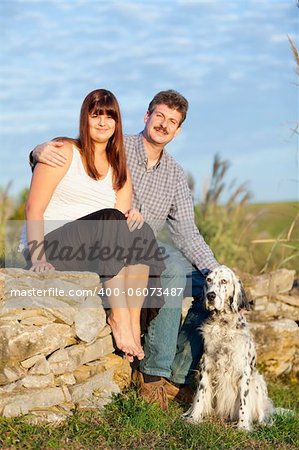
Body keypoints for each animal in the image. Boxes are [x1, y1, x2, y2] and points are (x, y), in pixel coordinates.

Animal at [183, 266, 274, 430]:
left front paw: (243, 427)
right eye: (209, 280)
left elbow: (244, 402)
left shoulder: (243, 371)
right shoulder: (207, 365)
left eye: (224, 281)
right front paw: (194, 418)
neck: (223, 324)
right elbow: (201, 394)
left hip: (258, 382)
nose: (210, 295)